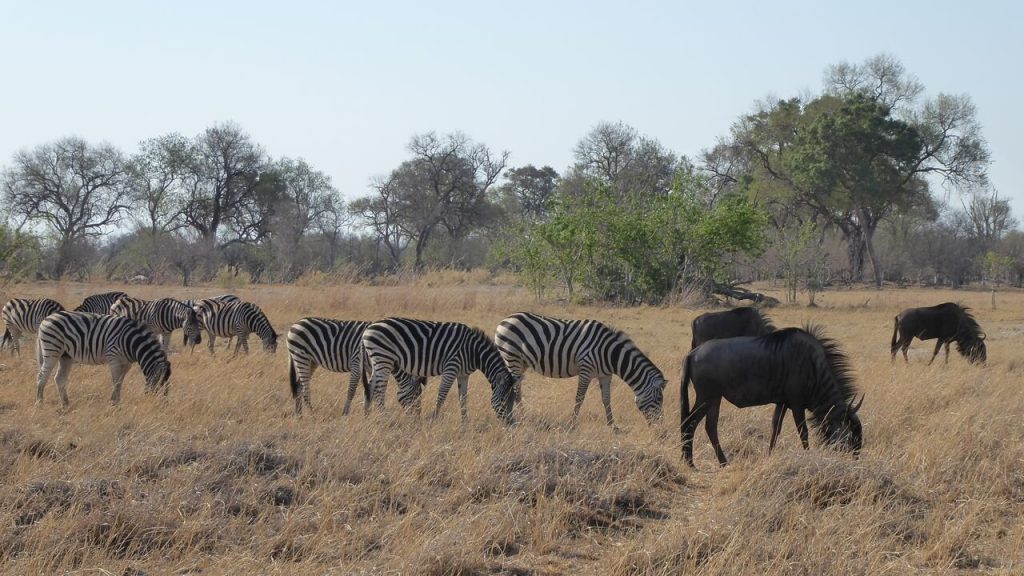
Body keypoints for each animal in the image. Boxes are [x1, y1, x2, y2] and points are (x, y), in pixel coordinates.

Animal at [35, 311, 171, 407]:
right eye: (161, 385)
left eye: (168, 386)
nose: (163, 406)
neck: (131, 342)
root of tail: (47, 318)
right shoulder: (114, 358)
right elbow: (116, 382)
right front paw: (116, 403)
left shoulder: (127, 364)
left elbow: (120, 381)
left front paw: (114, 401)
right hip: (52, 350)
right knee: (41, 376)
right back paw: (39, 403)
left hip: (65, 356)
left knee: (59, 378)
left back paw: (66, 403)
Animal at [286, 317, 425, 415]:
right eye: (417, 395)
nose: (417, 417)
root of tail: (296, 323)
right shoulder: (356, 363)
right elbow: (352, 390)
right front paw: (345, 414)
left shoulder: (371, 368)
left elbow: (370, 391)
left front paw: (368, 414)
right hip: (301, 357)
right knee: (305, 387)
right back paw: (311, 413)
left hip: (311, 361)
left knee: (298, 385)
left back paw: (299, 414)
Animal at [361, 317, 516, 423]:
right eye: (504, 400)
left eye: (511, 400)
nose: (511, 423)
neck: (474, 351)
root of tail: (368, 329)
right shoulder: (451, 367)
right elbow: (442, 394)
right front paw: (434, 419)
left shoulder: (463, 374)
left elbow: (463, 398)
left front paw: (465, 422)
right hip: (384, 359)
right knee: (379, 391)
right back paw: (385, 418)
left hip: (377, 362)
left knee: (370, 387)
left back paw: (368, 416)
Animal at [494, 312, 667, 427]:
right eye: (659, 399)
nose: (660, 426)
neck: (609, 353)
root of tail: (504, 320)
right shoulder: (586, 369)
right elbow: (579, 398)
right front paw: (572, 424)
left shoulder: (605, 374)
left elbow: (606, 399)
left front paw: (612, 425)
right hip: (512, 358)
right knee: (515, 390)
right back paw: (522, 417)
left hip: (521, 362)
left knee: (514, 389)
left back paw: (514, 416)